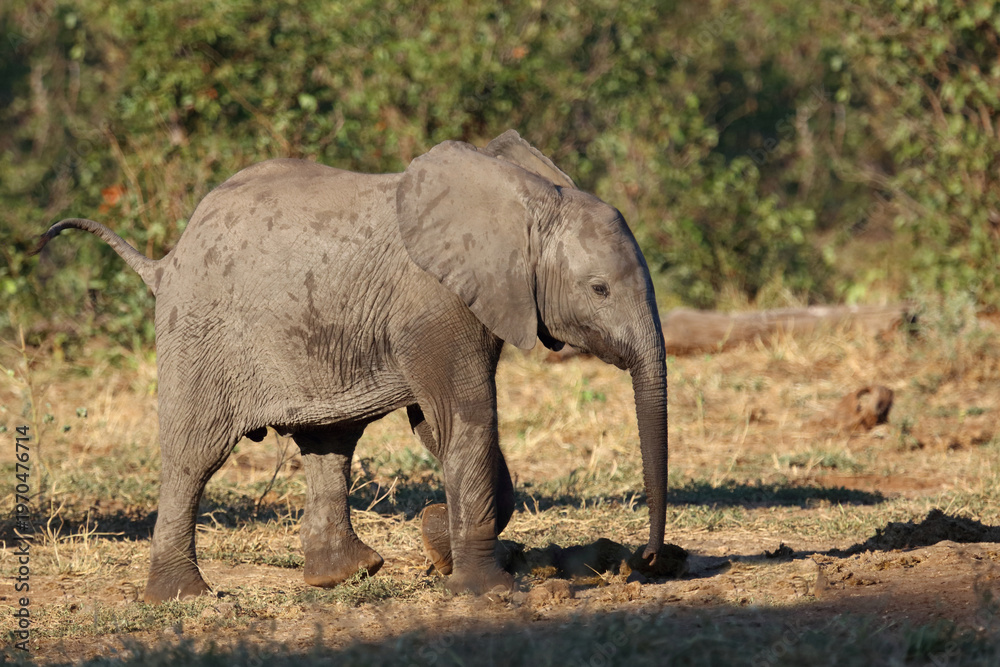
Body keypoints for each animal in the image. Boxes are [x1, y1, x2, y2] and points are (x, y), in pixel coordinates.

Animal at [32, 130, 669, 602]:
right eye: (599, 289)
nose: (645, 560)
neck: (526, 201)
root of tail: (165, 261)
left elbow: (438, 428)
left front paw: (437, 539)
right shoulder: (436, 303)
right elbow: (466, 419)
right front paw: (485, 587)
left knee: (329, 445)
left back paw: (344, 575)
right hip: (199, 333)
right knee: (195, 455)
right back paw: (184, 597)